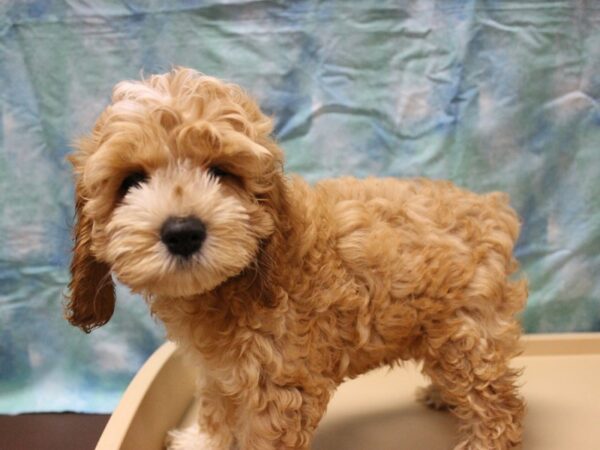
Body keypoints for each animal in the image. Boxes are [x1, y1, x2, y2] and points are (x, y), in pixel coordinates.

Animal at [64, 67, 524, 450]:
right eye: (131, 181)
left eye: (222, 172)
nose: (182, 232)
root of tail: (489, 206)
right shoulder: (217, 370)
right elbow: (216, 405)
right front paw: (204, 441)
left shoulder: (282, 388)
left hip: (468, 334)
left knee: (497, 405)